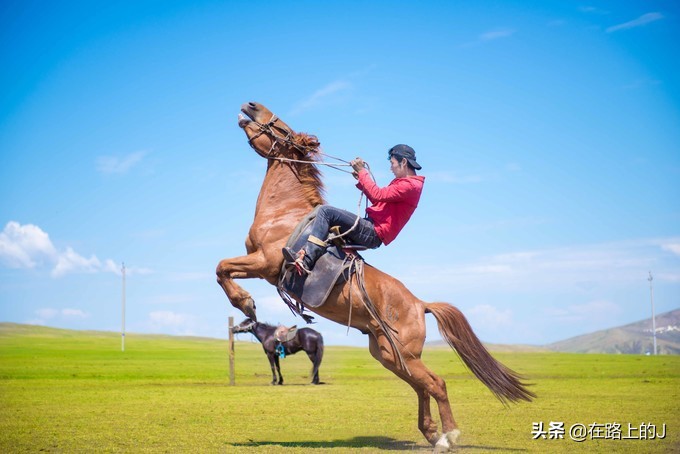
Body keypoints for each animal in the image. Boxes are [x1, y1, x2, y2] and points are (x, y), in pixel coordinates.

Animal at [215, 102, 532, 450]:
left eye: (283, 129)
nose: (251, 106)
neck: (287, 216)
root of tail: (420, 304)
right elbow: (222, 268)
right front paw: (246, 303)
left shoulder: (264, 263)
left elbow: (221, 267)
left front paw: (245, 303)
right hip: (390, 355)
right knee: (422, 386)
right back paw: (432, 433)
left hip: (401, 354)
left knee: (436, 383)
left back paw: (448, 437)